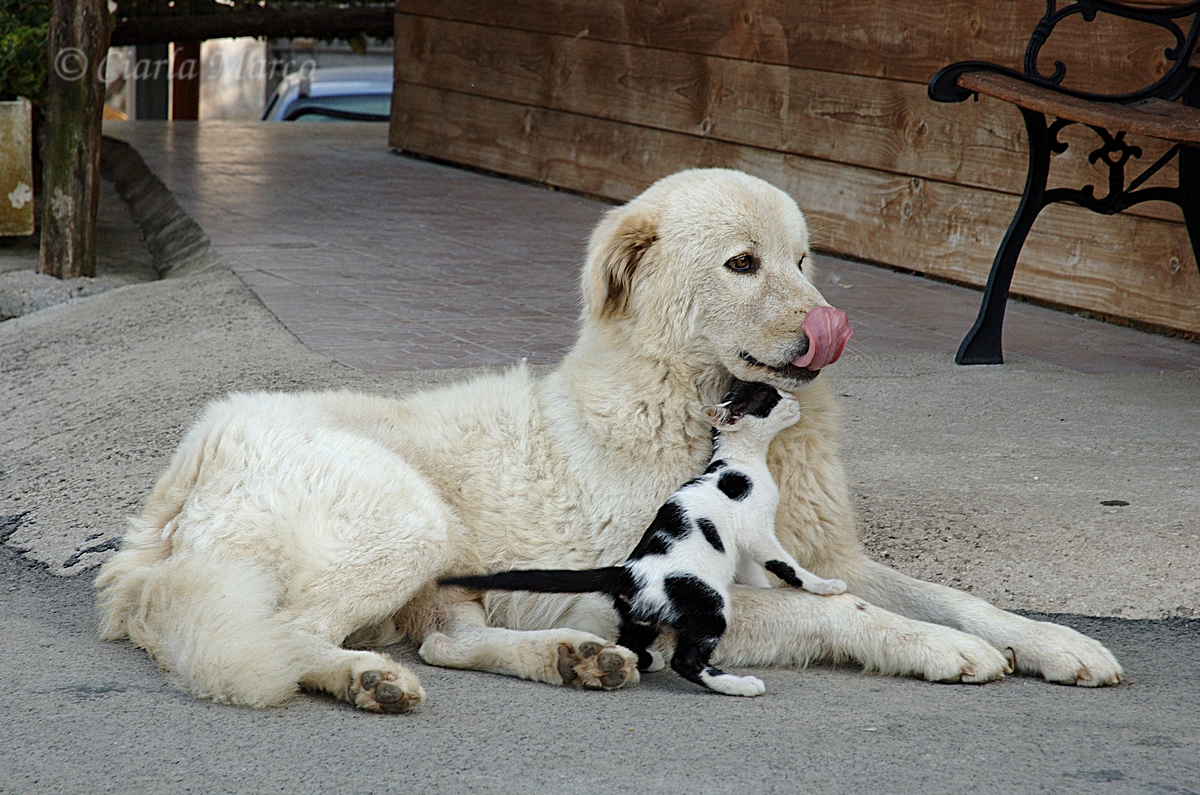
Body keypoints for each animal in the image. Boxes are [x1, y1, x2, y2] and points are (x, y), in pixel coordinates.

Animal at [439, 384, 844, 701]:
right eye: (772, 399)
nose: (794, 398)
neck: (739, 464)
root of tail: (628, 572)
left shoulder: (742, 545)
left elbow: (755, 573)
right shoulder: (757, 532)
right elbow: (787, 565)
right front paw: (824, 586)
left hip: (643, 616)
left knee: (633, 641)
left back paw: (646, 660)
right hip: (710, 602)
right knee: (687, 660)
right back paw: (739, 685)